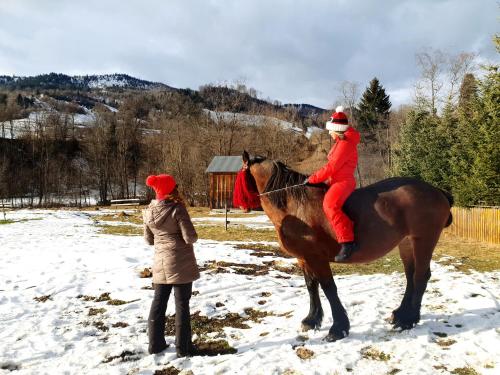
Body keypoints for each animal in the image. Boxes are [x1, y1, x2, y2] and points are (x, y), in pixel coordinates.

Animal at [240, 151, 456, 342]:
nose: (243, 207)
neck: (295, 206)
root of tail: (437, 191)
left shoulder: (317, 258)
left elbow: (329, 288)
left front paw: (338, 328)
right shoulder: (303, 258)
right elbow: (311, 286)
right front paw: (312, 320)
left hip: (423, 241)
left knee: (420, 277)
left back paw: (409, 320)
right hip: (407, 243)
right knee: (410, 276)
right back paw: (401, 314)